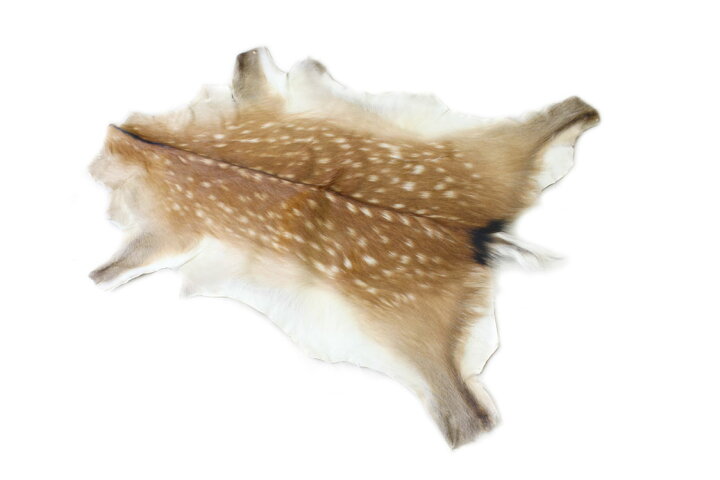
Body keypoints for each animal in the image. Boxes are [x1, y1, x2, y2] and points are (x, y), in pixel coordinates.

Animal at [89, 47, 599, 448]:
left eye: (101, 171)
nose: (112, 131)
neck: (164, 152)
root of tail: (475, 234)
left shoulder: (170, 228)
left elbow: (125, 261)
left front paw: (99, 275)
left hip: (404, 329)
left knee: (468, 419)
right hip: (495, 147)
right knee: (567, 113)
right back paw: (576, 117)